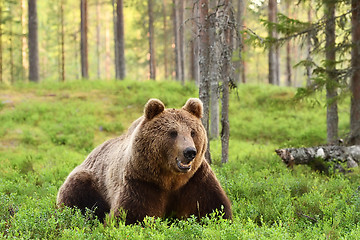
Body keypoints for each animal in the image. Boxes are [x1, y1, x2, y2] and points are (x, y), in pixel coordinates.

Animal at [56, 98, 231, 225]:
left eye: (193, 132)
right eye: (173, 132)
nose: (190, 152)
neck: (170, 180)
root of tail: (90, 153)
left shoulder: (195, 180)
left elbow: (214, 208)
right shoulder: (142, 182)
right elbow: (131, 216)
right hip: (89, 181)